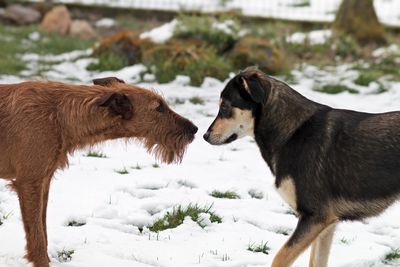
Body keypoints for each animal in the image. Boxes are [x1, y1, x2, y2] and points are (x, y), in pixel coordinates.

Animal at [0, 76, 197, 266]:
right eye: (159, 108)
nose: (194, 129)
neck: (59, 114)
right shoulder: (29, 182)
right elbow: (37, 238)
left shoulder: (44, 181)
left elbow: (43, 230)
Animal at [203, 67, 400, 267]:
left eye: (224, 107)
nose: (204, 136)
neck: (292, 132)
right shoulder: (326, 224)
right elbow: (316, 261)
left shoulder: (315, 217)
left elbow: (279, 258)